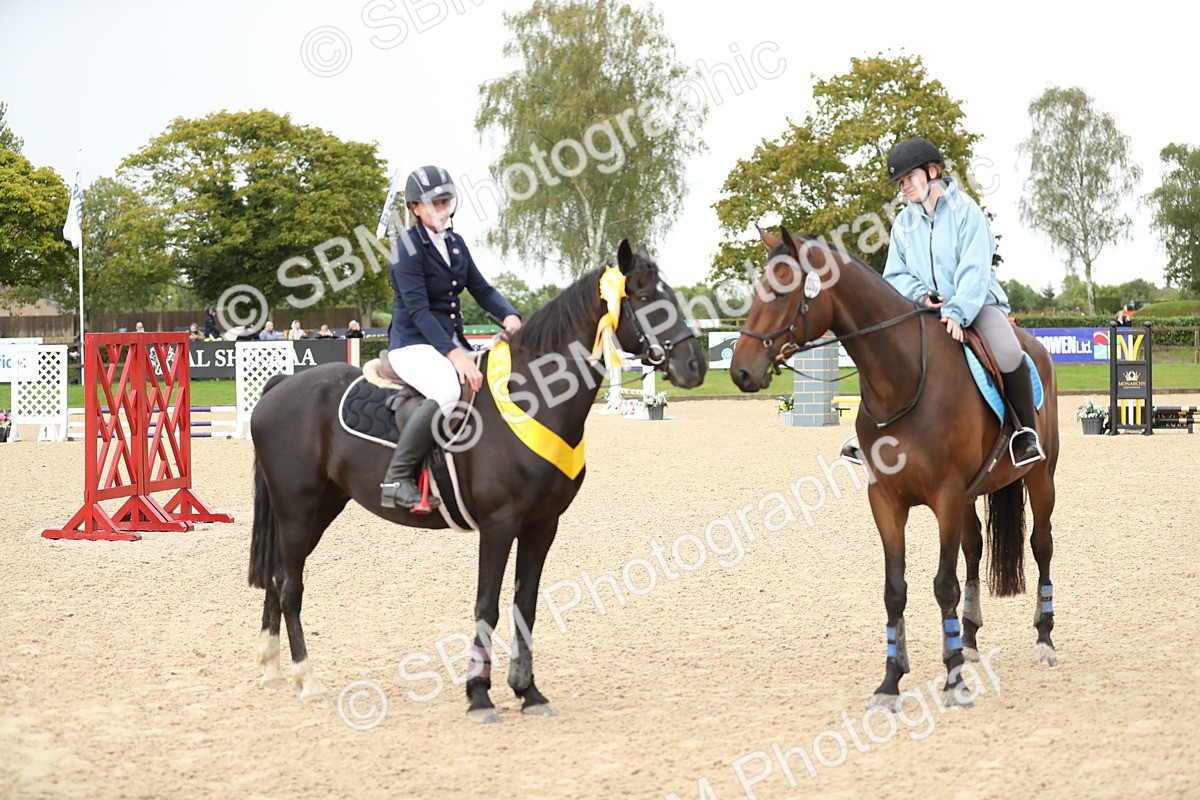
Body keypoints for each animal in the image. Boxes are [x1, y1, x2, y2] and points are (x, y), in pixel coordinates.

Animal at [248, 240, 706, 722]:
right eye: (643, 297)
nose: (695, 366)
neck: (534, 397)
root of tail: (280, 385)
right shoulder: (499, 525)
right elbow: (487, 605)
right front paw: (480, 696)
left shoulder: (543, 525)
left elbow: (525, 605)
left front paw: (528, 691)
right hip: (297, 508)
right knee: (291, 585)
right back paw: (307, 680)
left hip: (320, 507)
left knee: (277, 577)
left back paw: (272, 671)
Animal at [730, 226, 1059, 708]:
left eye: (783, 290)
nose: (740, 371)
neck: (903, 377)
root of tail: (1034, 344)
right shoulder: (886, 500)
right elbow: (895, 590)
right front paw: (891, 680)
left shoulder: (945, 497)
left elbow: (943, 585)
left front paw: (953, 679)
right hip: (972, 494)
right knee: (974, 548)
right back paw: (970, 639)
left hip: (1039, 479)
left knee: (1041, 546)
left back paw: (1044, 640)